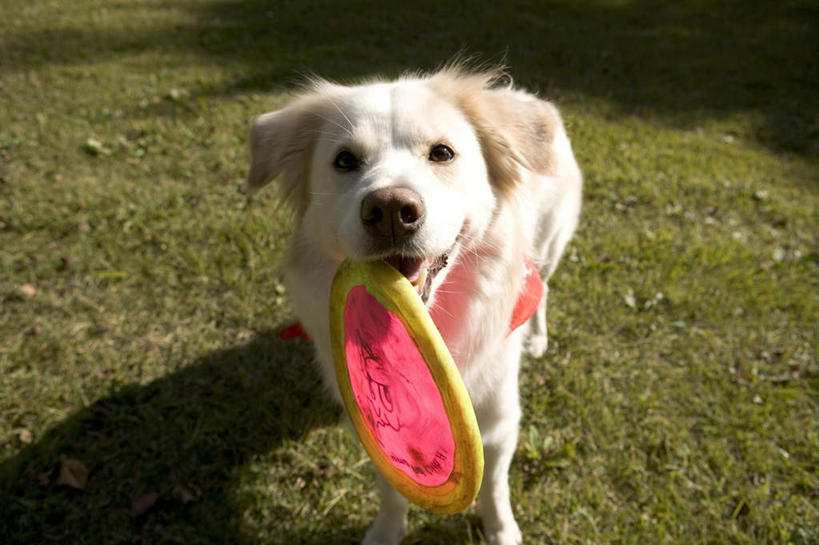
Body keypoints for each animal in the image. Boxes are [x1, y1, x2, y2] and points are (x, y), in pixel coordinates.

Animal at [245, 65, 584, 544]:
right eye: (345, 160)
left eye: (442, 153)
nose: (389, 209)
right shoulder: (374, 426)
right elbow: (391, 490)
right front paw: (386, 532)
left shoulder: (498, 421)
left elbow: (495, 488)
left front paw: (501, 530)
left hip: (551, 245)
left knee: (543, 289)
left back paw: (536, 337)